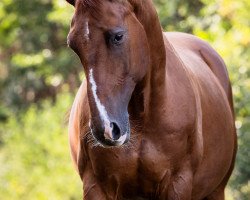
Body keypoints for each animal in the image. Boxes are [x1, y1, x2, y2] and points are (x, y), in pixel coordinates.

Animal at [66, 0, 236, 199]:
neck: (144, 121)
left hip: (216, 191)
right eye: (73, 45)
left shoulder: (178, 184)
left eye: (118, 36)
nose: (105, 129)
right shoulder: (95, 187)